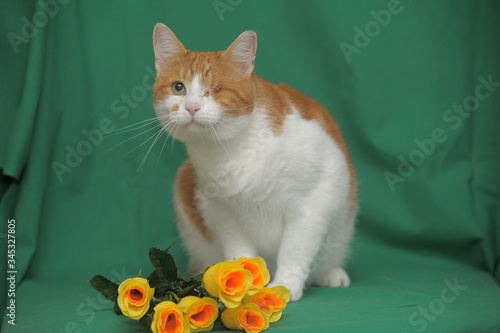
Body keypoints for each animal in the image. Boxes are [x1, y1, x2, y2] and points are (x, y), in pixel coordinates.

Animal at [150, 22, 358, 300]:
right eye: (178, 88)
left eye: (216, 89)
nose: (192, 107)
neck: (230, 152)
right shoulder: (225, 214)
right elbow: (240, 254)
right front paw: (241, 288)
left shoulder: (311, 205)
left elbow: (295, 251)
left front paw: (285, 287)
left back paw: (330, 274)